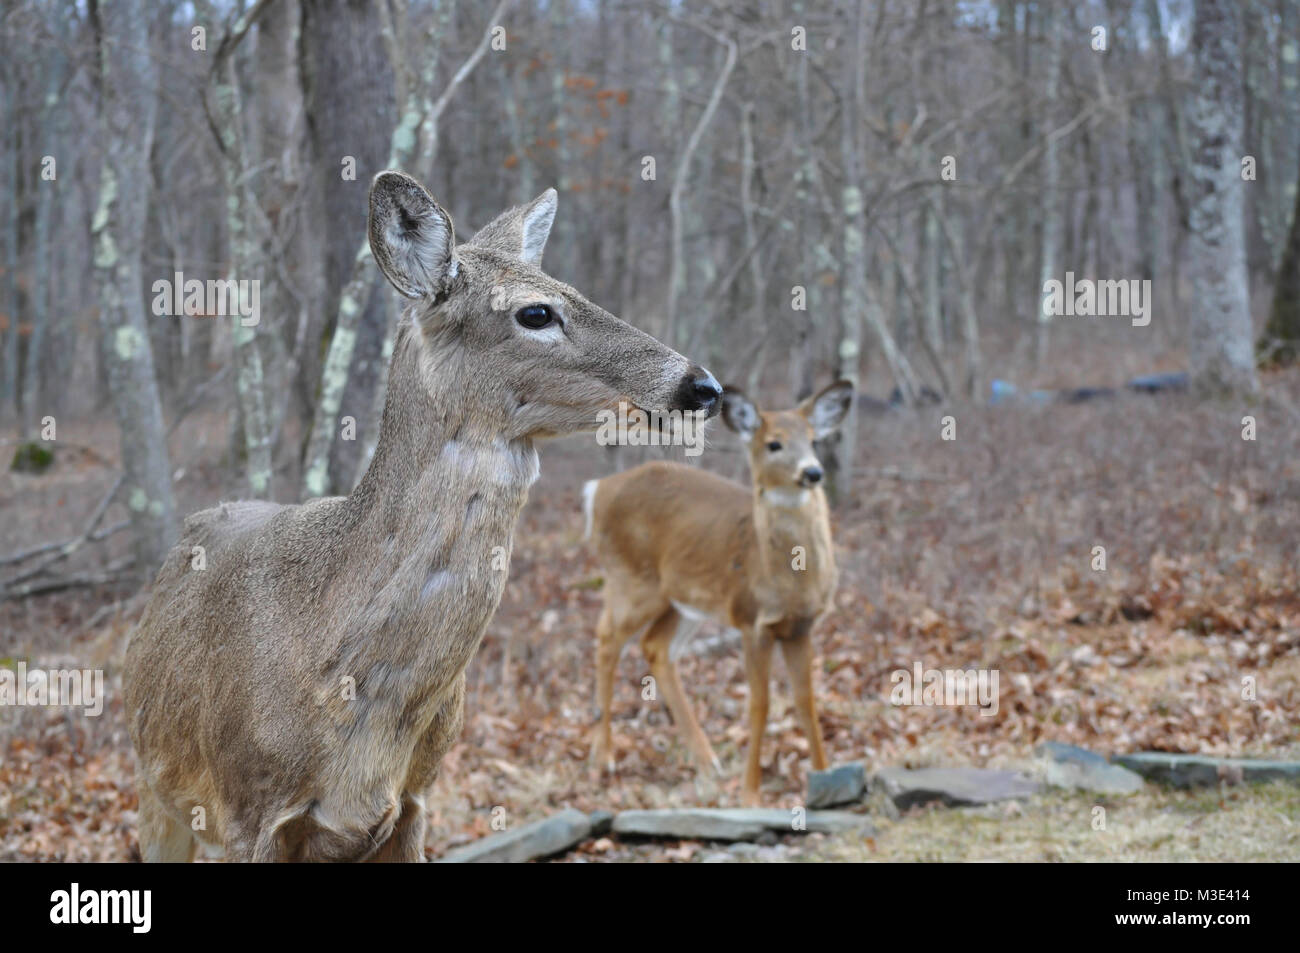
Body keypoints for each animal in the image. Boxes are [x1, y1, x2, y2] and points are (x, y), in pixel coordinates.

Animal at [122, 171, 722, 863]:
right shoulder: (248, 811)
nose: (703, 386)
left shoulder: (414, 801)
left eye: (574, 289)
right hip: (159, 796)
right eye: (535, 312)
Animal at [587, 377, 852, 800]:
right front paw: (750, 792)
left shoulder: (801, 626)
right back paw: (603, 757)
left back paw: (707, 761)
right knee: (607, 638)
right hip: (631, 579)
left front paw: (825, 775)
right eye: (773, 444)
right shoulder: (752, 621)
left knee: (655, 647)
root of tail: (597, 491)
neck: (791, 582)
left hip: (683, 600)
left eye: (813, 439)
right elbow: (759, 704)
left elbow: (806, 700)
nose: (813, 472)